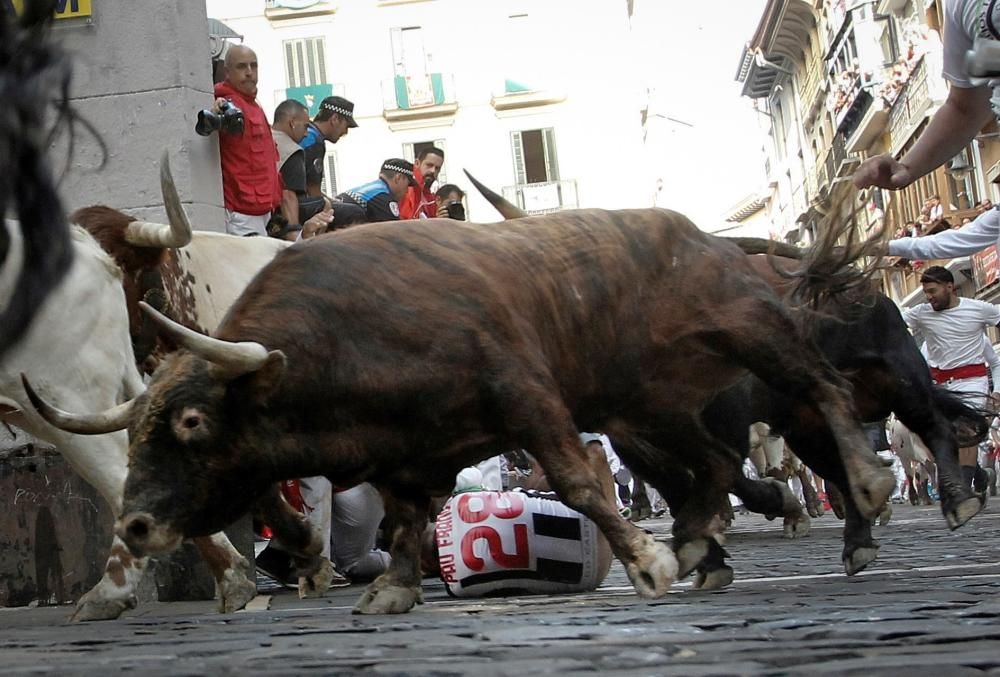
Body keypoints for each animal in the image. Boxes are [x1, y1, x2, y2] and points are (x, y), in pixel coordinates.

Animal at [27, 206, 896, 612]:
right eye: (140, 425)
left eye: (192, 421)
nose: (137, 524)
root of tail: (702, 235)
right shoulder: (408, 454)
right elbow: (406, 519)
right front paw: (392, 588)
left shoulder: (526, 395)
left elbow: (579, 483)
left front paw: (644, 561)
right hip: (652, 405)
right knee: (715, 461)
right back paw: (695, 543)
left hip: (752, 329)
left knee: (822, 388)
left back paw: (867, 487)